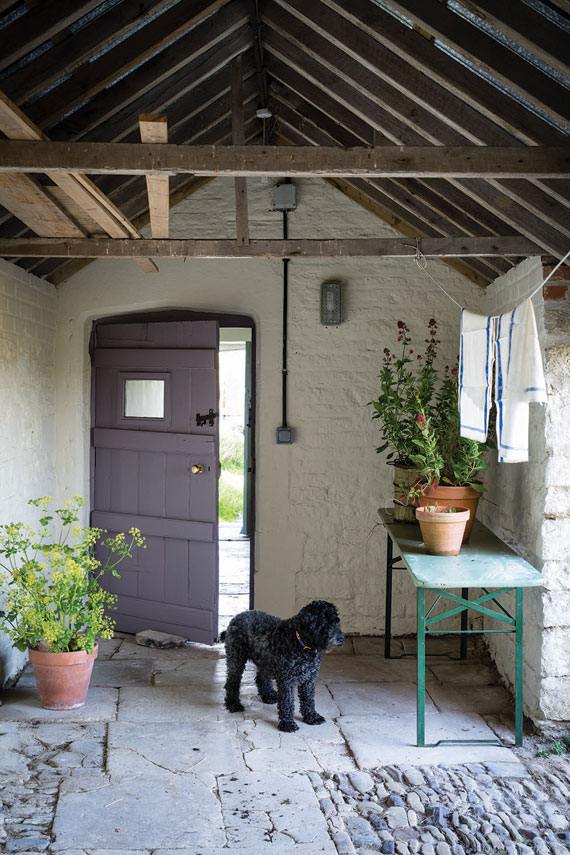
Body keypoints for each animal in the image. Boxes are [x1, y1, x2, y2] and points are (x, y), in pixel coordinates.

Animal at [219, 600, 342, 732]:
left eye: (337, 621)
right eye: (323, 621)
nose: (341, 639)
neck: (300, 643)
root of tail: (237, 617)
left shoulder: (309, 679)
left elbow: (308, 699)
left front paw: (312, 716)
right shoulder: (287, 680)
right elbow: (287, 702)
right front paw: (288, 723)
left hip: (265, 661)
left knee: (261, 678)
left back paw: (268, 696)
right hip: (236, 660)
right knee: (232, 682)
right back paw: (233, 704)